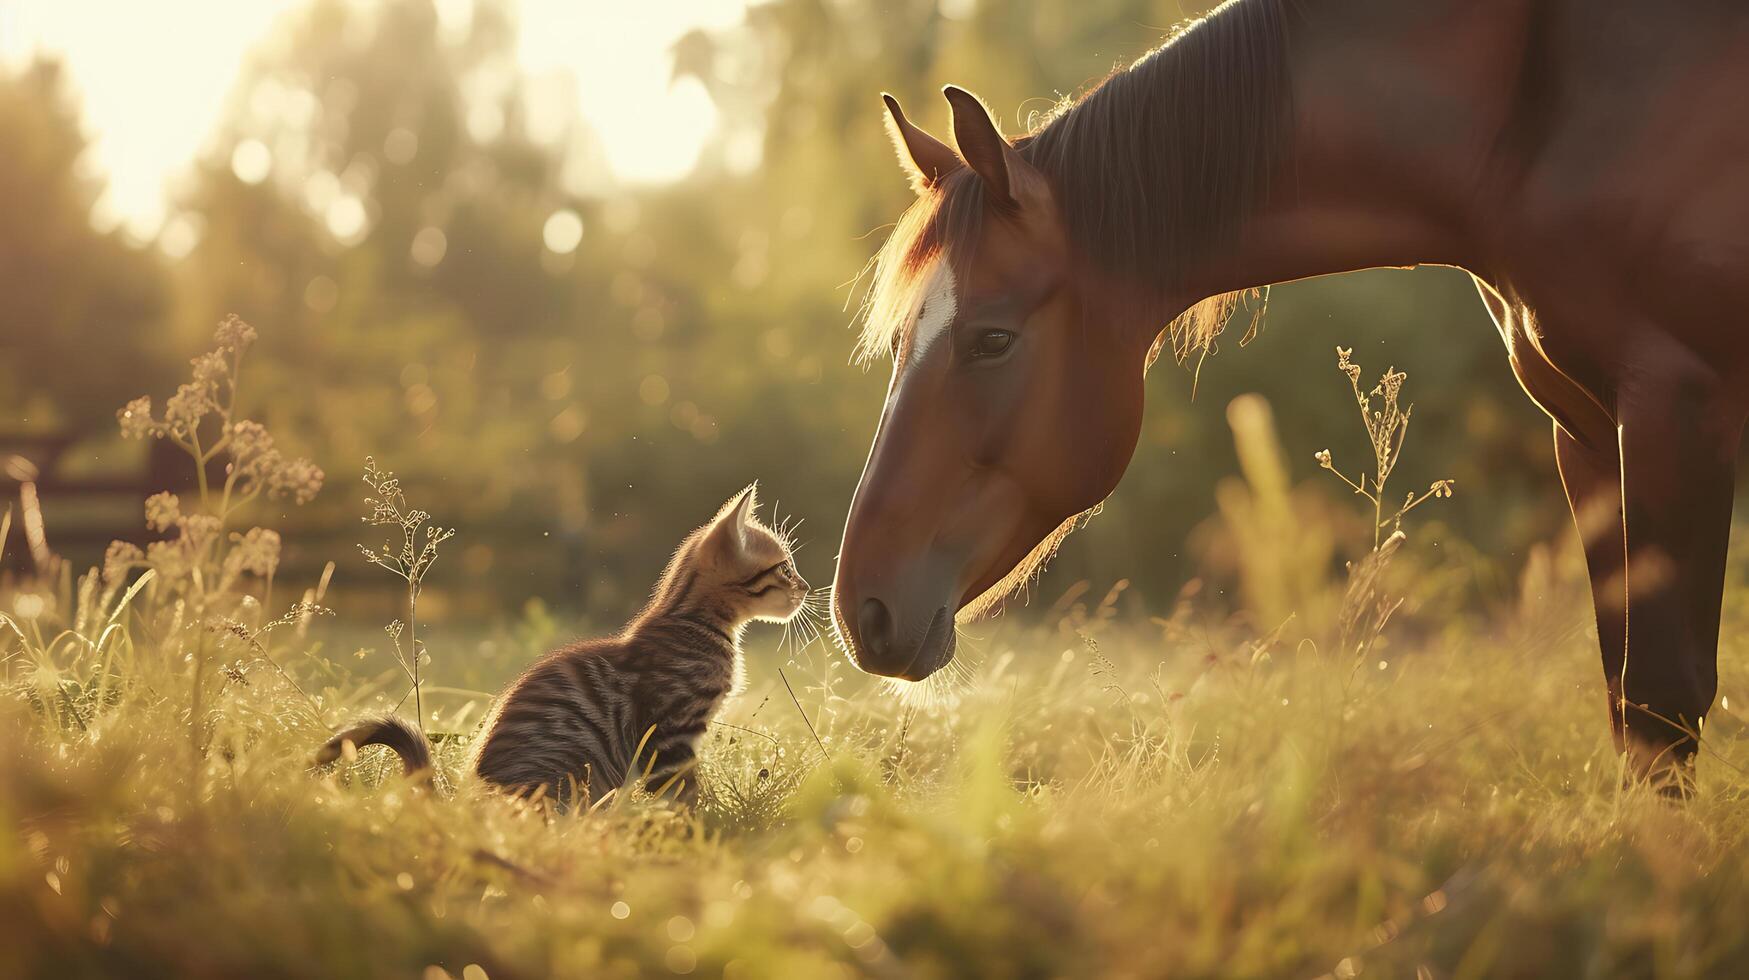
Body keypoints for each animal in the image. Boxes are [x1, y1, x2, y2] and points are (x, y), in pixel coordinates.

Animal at [314, 483, 804, 812]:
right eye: (784, 567)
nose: (804, 587)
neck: (693, 622)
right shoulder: (669, 733)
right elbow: (681, 797)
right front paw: (701, 832)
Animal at [829, 0, 1749, 787]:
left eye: (991, 339)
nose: (858, 611)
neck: (1536, 110)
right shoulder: (1585, 428)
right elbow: (1628, 705)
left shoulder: (1672, 408)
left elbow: (1661, 700)